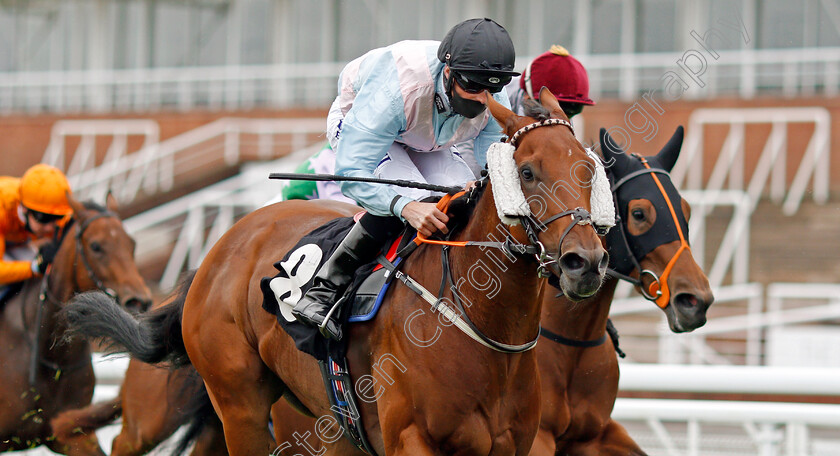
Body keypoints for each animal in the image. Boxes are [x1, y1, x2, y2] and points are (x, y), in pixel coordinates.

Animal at [62, 90, 608, 456]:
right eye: (528, 172)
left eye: (589, 170)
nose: (585, 262)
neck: (484, 330)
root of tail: (220, 248)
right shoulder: (413, 439)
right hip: (239, 405)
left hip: (329, 421)